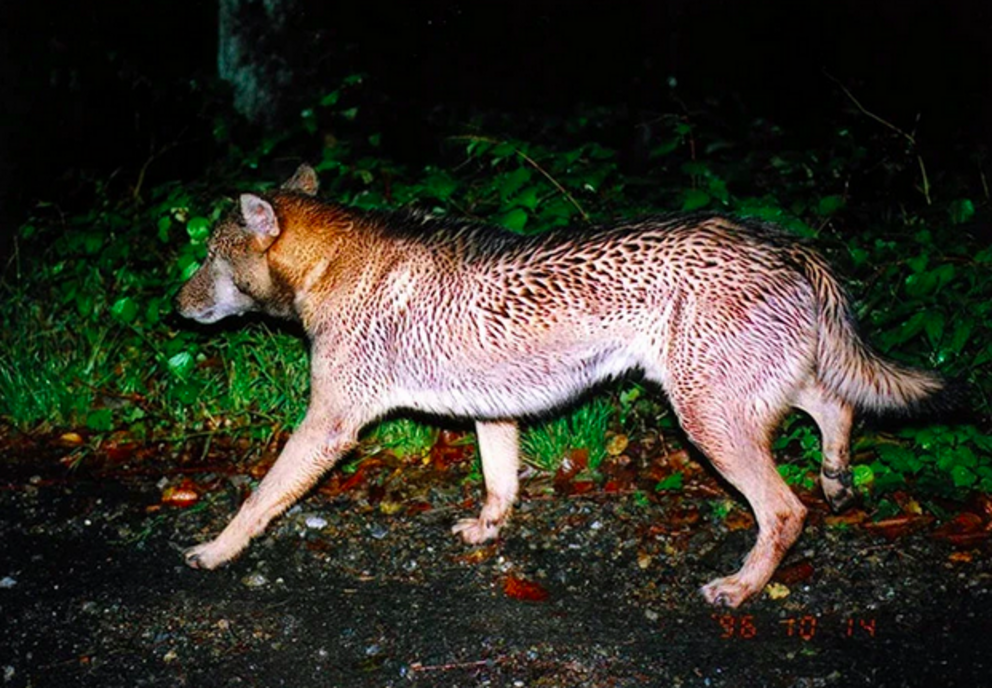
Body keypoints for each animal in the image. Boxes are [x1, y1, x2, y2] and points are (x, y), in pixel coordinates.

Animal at [174, 165, 940, 608]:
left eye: (208, 255)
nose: (173, 307)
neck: (329, 266)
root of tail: (783, 240)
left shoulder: (330, 425)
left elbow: (259, 500)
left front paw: (215, 550)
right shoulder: (491, 412)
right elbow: (499, 486)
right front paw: (487, 530)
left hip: (706, 416)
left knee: (784, 511)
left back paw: (743, 586)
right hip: (739, 392)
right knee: (836, 403)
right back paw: (837, 476)